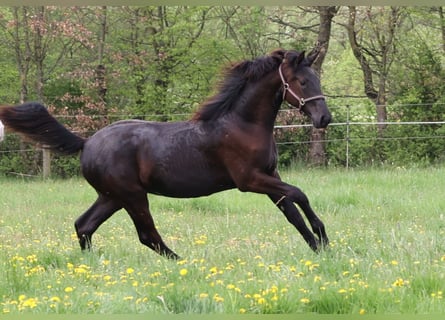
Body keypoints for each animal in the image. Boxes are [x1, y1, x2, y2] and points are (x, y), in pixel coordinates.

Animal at [0, 48, 330, 258]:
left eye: (317, 79)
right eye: (302, 81)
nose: (324, 118)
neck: (242, 124)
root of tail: (87, 142)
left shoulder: (269, 175)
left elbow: (292, 213)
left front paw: (318, 248)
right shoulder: (249, 180)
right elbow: (299, 194)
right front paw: (324, 240)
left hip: (111, 197)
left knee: (84, 225)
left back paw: (91, 265)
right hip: (132, 195)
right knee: (147, 235)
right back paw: (184, 263)